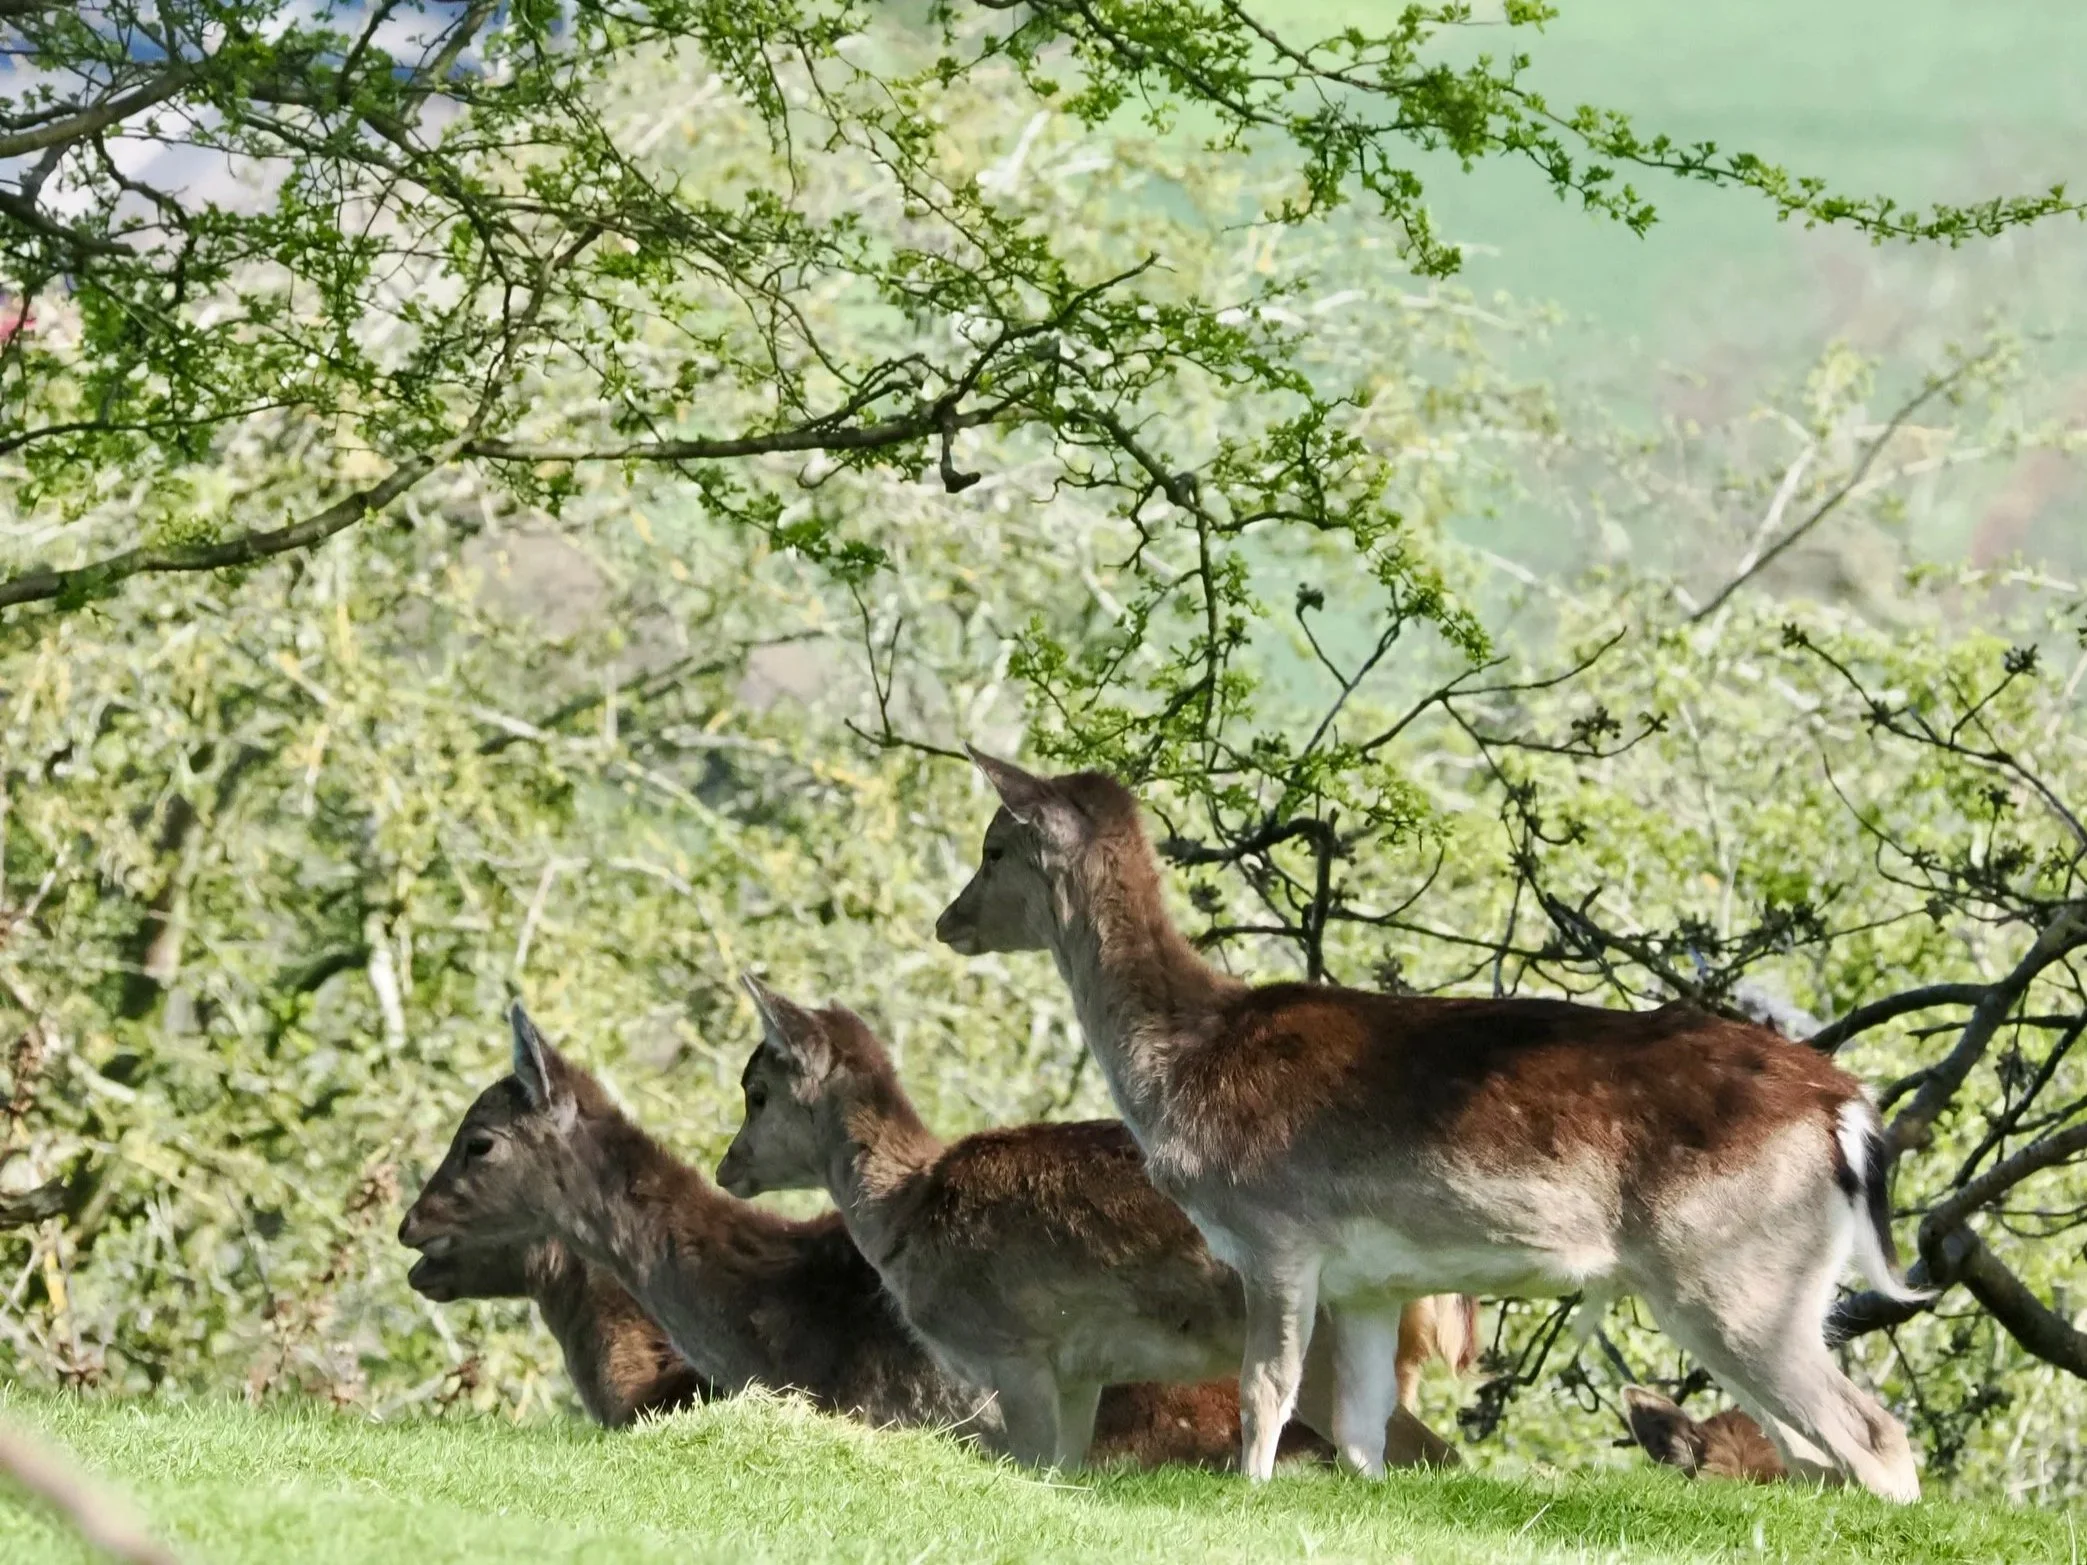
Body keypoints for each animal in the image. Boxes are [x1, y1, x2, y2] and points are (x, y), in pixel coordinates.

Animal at [717, 976, 1468, 1470]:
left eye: (756, 1092)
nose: (727, 1167)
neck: (907, 1209)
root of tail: (1449, 1305)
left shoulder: (1014, 1349)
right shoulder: (1081, 1371)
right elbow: (1063, 1472)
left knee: (1432, 1452)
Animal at [933, 753, 1923, 1500]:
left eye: (992, 846)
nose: (947, 922)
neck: (1184, 1061)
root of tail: (1848, 1110)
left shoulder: (1275, 1228)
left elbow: (1266, 1388)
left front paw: (1249, 1492)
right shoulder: (1373, 1281)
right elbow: (1362, 1431)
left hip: (1732, 1268)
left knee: (1873, 1436)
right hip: (1784, 1283)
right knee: (1814, 1448)